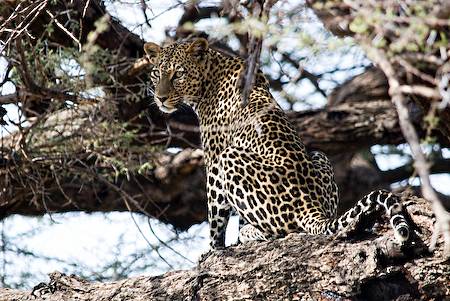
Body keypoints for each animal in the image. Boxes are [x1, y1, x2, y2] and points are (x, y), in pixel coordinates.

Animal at [145, 37, 412, 248]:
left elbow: (215, 218)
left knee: (280, 230)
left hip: (229, 156)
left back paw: (248, 233)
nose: (160, 98)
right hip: (319, 156)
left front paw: (212, 251)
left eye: (178, 74)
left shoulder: (214, 160)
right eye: (157, 73)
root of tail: (310, 205)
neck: (210, 76)